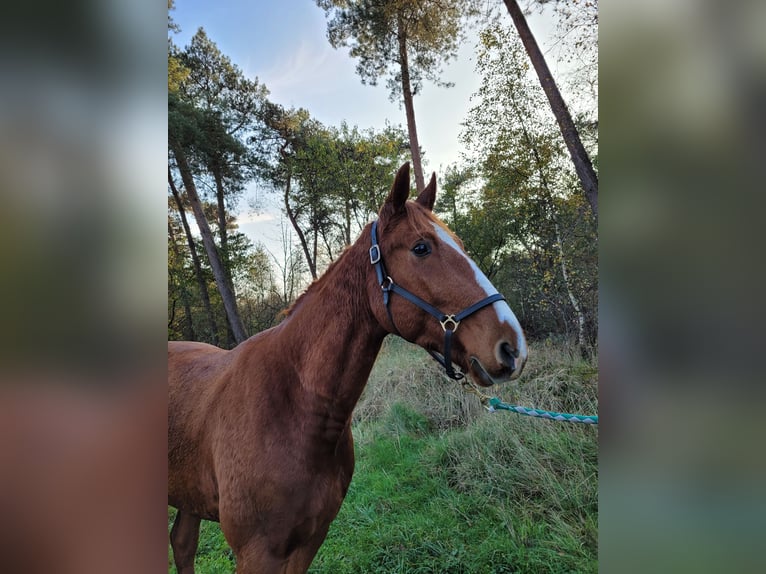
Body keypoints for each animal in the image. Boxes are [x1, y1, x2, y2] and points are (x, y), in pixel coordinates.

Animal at [168, 163, 528, 574]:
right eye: (421, 247)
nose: (512, 346)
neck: (295, 409)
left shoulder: (309, 540)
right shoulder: (257, 553)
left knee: (182, 543)